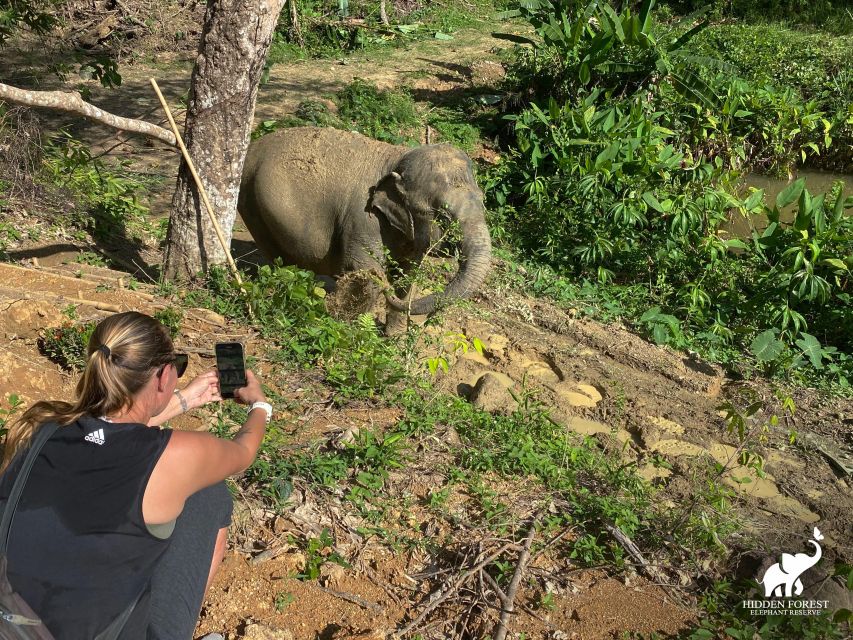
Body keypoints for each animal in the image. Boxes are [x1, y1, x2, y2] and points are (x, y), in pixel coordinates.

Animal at [238, 127, 492, 322]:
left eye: (483, 200)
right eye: (444, 215)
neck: (396, 157)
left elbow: (408, 275)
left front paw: (392, 340)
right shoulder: (362, 219)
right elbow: (363, 270)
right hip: (251, 202)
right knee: (278, 258)